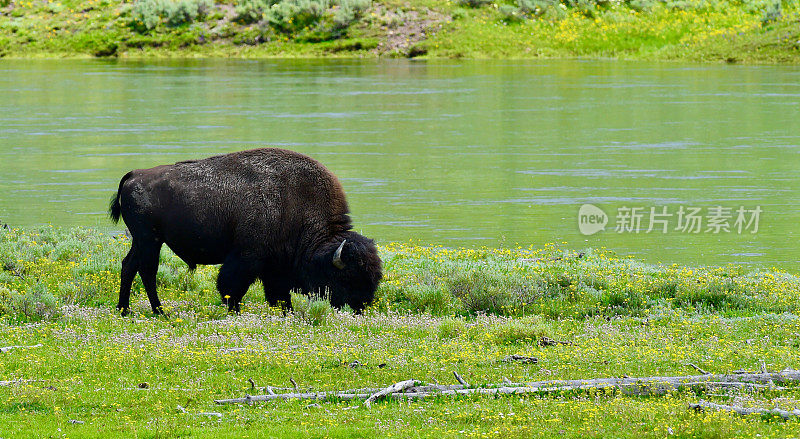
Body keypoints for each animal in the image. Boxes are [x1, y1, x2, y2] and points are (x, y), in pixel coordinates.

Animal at [108, 149, 382, 316]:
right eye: (347, 277)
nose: (361, 306)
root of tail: (135, 174)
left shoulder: (275, 266)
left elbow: (278, 294)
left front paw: (286, 312)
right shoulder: (247, 256)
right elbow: (232, 286)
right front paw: (234, 310)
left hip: (142, 241)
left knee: (128, 266)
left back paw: (125, 310)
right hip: (150, 240)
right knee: (147, 271)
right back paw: (159, 311)